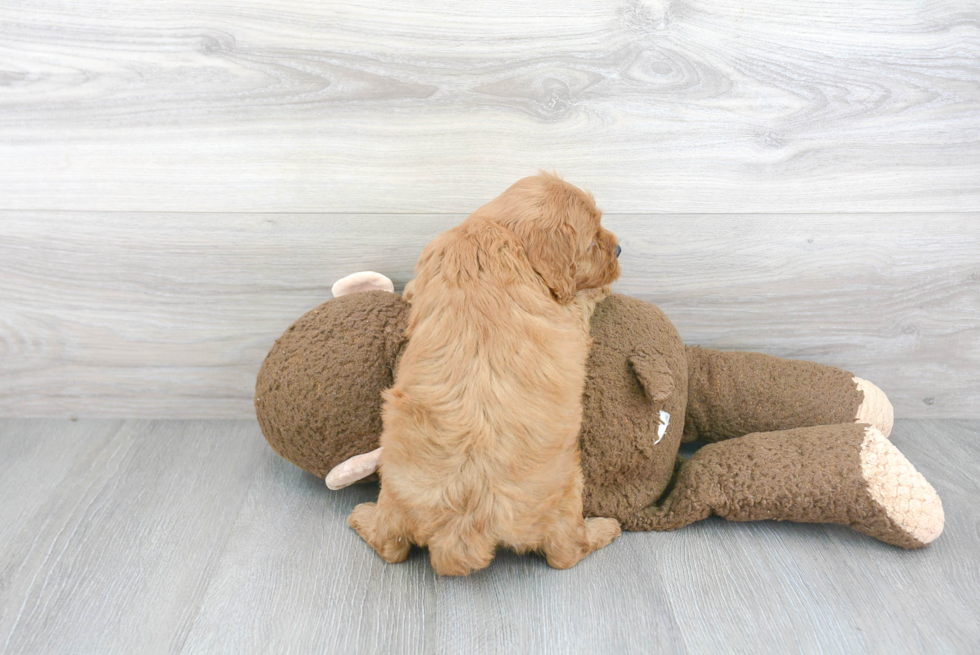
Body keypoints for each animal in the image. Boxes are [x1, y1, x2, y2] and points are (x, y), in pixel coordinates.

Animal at [348, 173, 624, 576]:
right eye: (591, 242)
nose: (618, 249)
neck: (499, 230)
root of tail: (462, 530)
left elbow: (413, 290)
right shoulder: (567, 317)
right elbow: (579, 300)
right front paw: (600, 287)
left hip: (395, 492)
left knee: (390, 546)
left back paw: (361, 517)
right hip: (569, 489)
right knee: (565, 553)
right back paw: (606, 528)